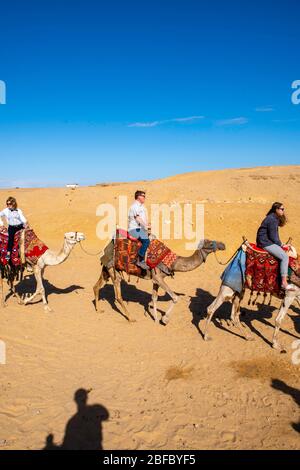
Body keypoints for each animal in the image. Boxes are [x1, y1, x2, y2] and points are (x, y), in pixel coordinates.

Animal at [94, 239, 225, 324]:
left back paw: (99, 309)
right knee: (118, 296)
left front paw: (156, 319)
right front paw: (164, 319)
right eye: (210, 243)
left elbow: (154, 298)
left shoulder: (155, 280)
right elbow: (175, 297)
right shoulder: (158, 277)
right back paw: (131, 318)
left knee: (96, 286)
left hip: (107, 269)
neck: (172, 262)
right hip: (114, 271)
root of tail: (106, 249)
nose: (223, 245)